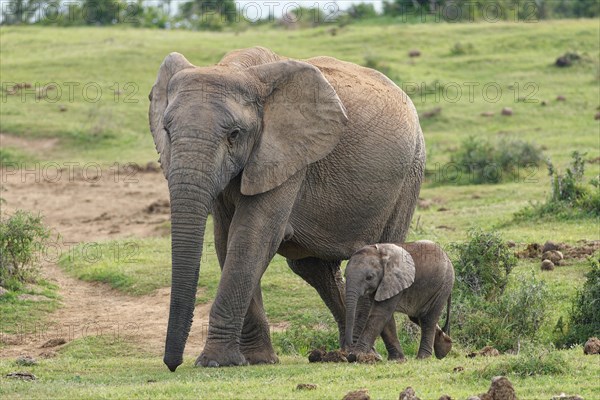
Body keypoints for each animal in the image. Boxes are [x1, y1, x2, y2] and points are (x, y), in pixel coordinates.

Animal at [148, 47, 424, 372]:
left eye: (234, 134)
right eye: (166, 130)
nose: (172, 364)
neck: (236, 68)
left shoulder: (288, 157)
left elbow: (252, 236)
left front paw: (215, 362)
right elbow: (226, 240)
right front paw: (258, 360)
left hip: (410, 174)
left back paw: (366, 355)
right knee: (314, 269)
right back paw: (347, 353)